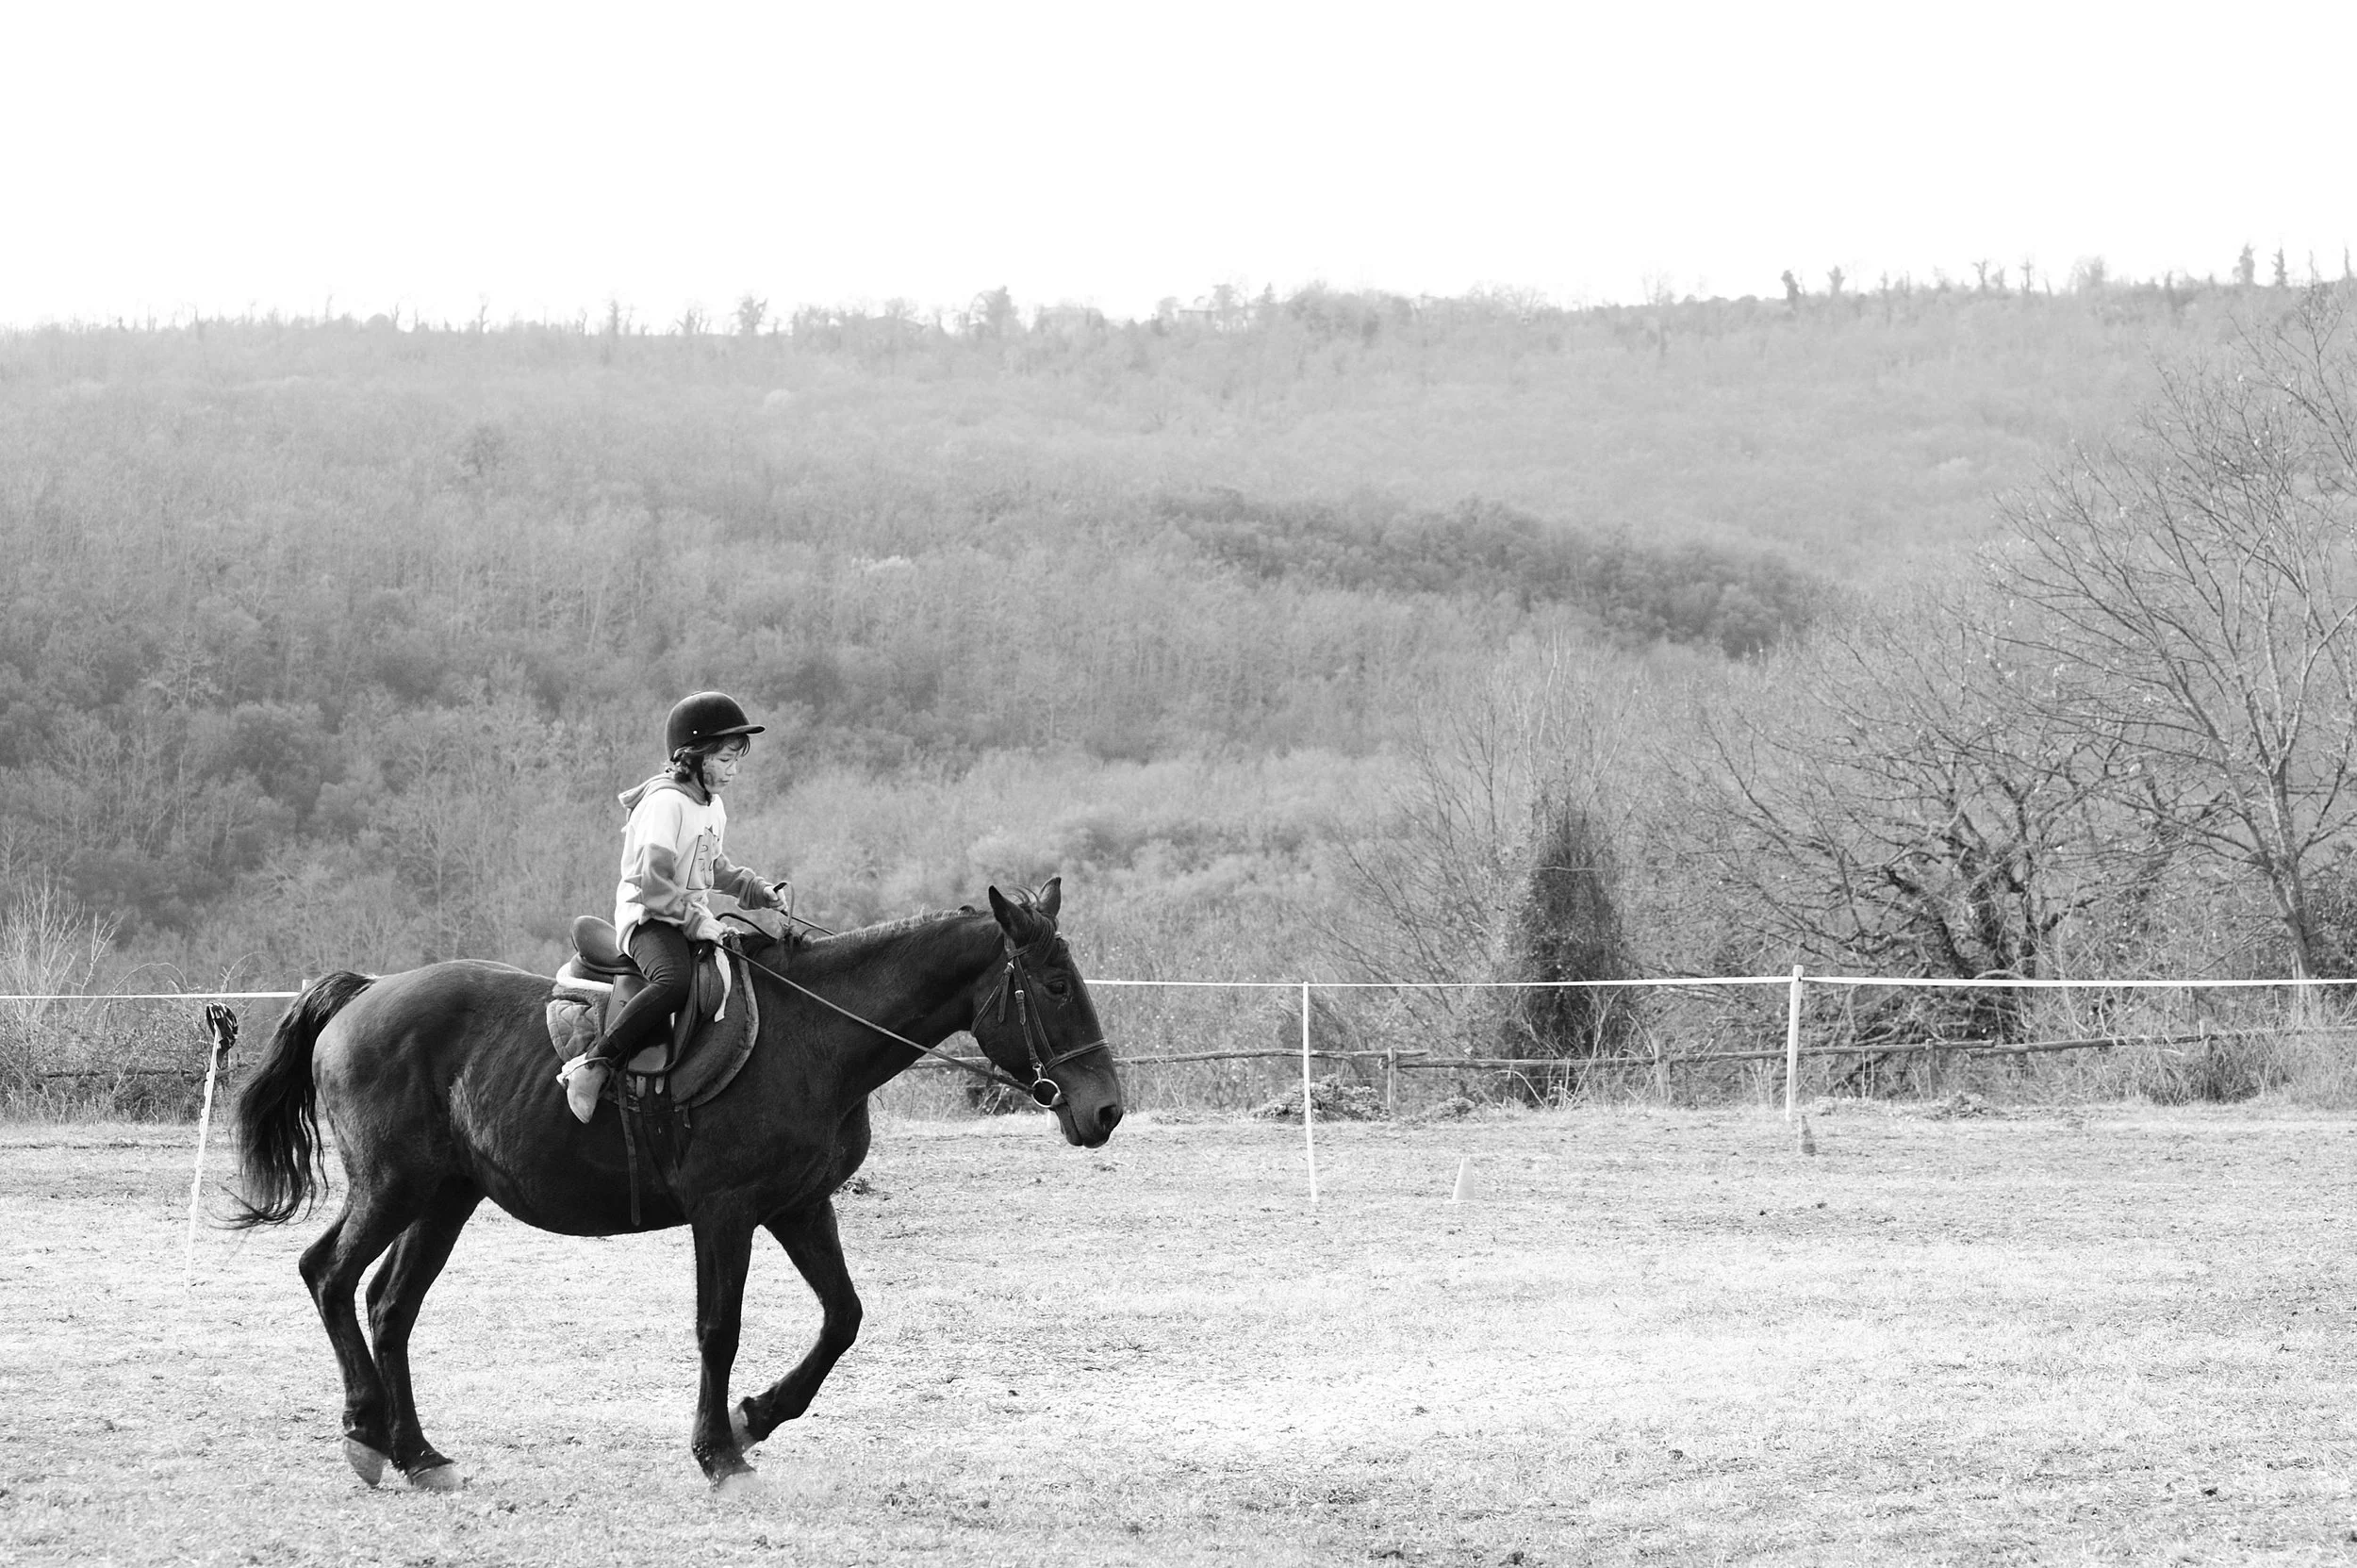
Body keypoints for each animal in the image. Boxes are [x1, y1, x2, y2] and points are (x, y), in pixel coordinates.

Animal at [229, 877, 1122, 1487]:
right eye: (1053, 985)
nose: (1105, 1109)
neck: (813, 1034)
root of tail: (365, 993)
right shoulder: (723, 1212)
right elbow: (718, 1328)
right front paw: (718, 1451)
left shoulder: (799, 1206)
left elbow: (843, 1317)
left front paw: (756, 1416)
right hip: (391, 1187)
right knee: (328, 1275)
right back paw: (364, 1431)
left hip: (443, 1198)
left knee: (390, 1306)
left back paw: (417, 1453)